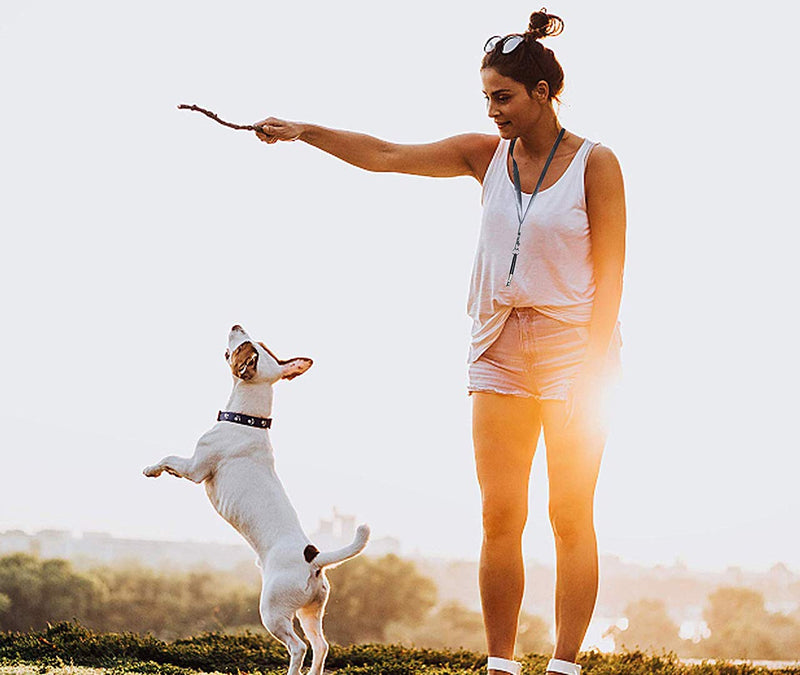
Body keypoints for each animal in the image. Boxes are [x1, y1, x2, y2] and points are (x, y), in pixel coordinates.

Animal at [144, 324, 368, 672]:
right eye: (259, 344)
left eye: (245, 346)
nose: (237, 324)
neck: (247, 419)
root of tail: (314, 559)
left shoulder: (195, 468)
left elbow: (170, 458)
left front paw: (151, 469)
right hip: (311, 611)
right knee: (321, 645)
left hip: (273, 612)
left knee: (298, 647)